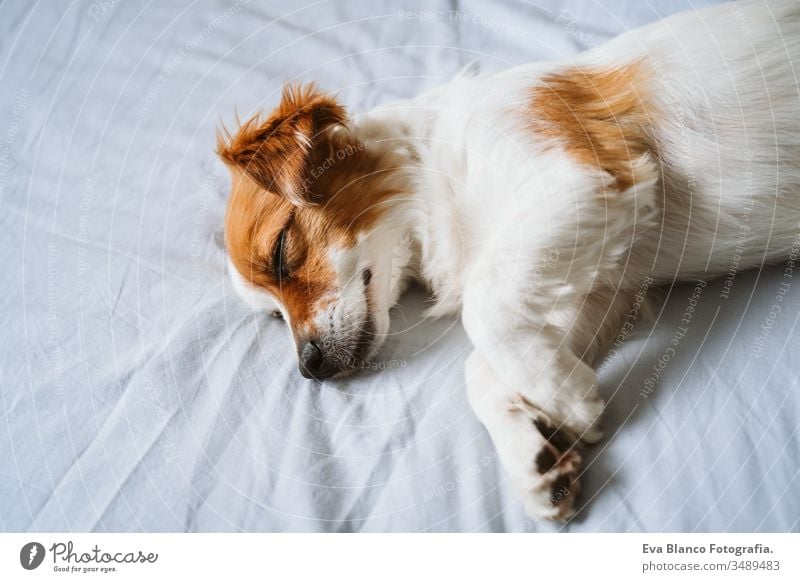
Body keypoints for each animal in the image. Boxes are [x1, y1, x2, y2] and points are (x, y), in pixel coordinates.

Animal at [217, 0, 800, 520]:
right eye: (273, 316)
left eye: (281, 250)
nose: (308, 367)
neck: (434, 171)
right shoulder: (606, 280)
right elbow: (482, 365)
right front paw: (533, 448)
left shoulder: (579, 180)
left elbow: (483, 308)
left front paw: (567, 399)